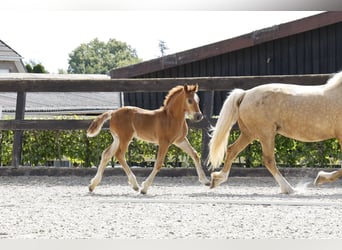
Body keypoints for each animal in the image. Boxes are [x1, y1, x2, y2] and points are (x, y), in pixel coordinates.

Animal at [208, 70, 342, 193]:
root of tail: (245, 94)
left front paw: (321, 177)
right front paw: (321, 177)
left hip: (249, 133)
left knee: (232, 150)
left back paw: (217, 179)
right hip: (265, 133)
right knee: (268, 160)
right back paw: (288, 189)